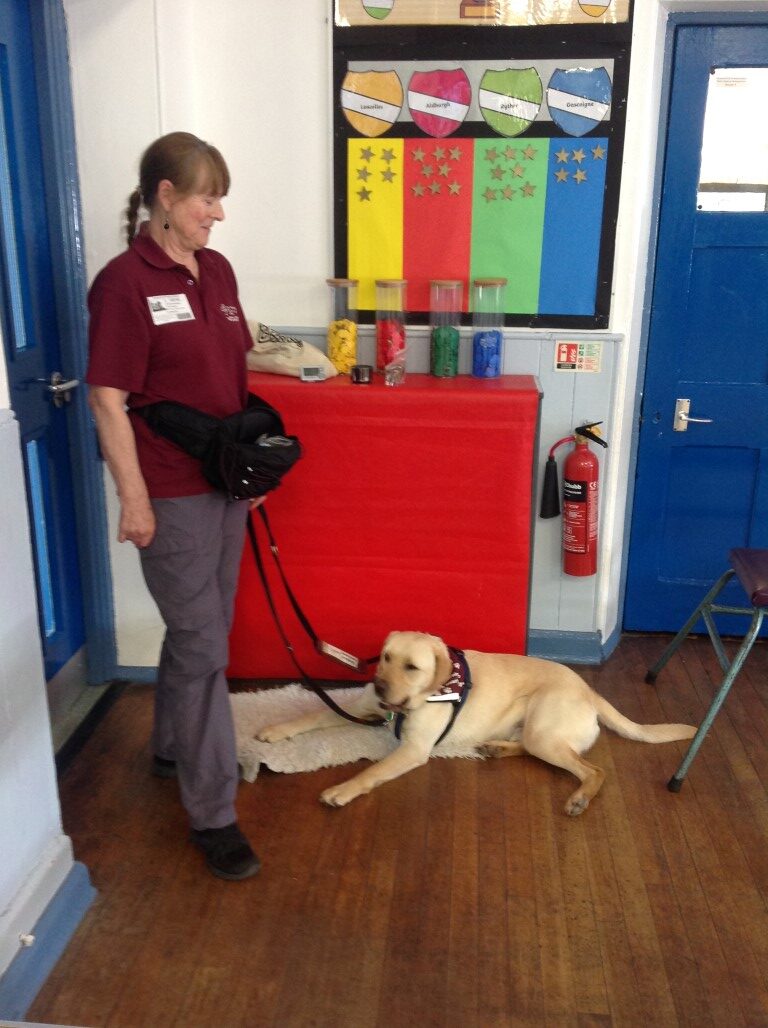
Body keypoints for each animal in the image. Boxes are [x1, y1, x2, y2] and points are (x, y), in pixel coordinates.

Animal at [257, 631, 697, 816]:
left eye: (412, 667)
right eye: (385, 657)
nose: (380, 686)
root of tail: (589, 691)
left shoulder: (413, 749)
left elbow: (371, 771)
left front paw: (341, 790)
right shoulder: (363, 706)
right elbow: (314, 713)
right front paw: (273, 730)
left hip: (544, 730)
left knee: (593, 770)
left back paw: (579, 798)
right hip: (538, 735)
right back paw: (495, 748)